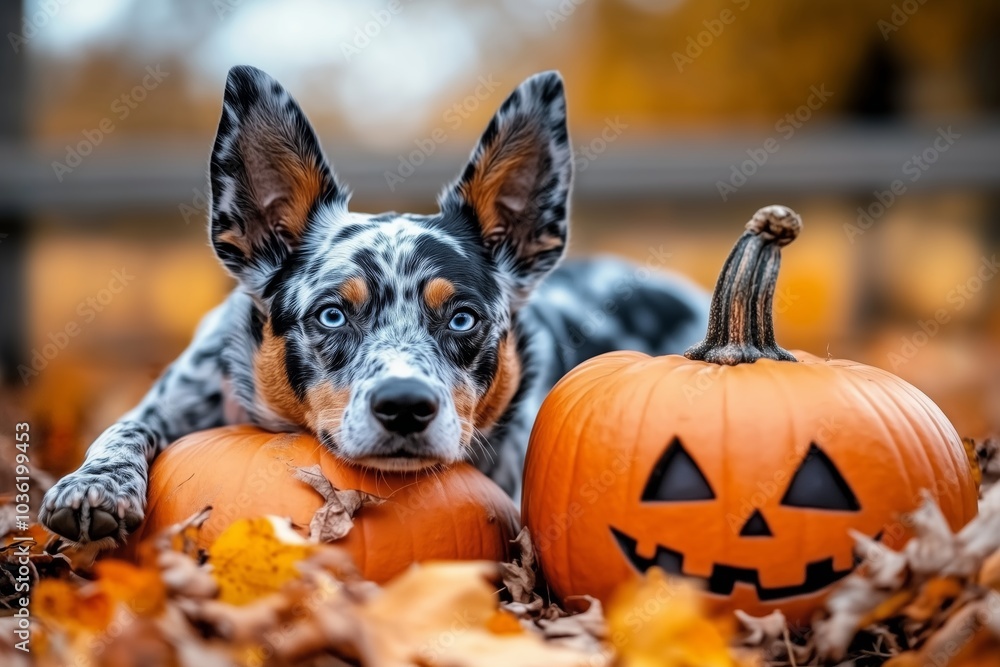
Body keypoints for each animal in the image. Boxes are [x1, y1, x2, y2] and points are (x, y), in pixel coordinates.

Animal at [41, 66, 712, 548]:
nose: (405, 406)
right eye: (332, 314)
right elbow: (123, 428)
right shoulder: (173, 397)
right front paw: (94, 487)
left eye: (462, 318)